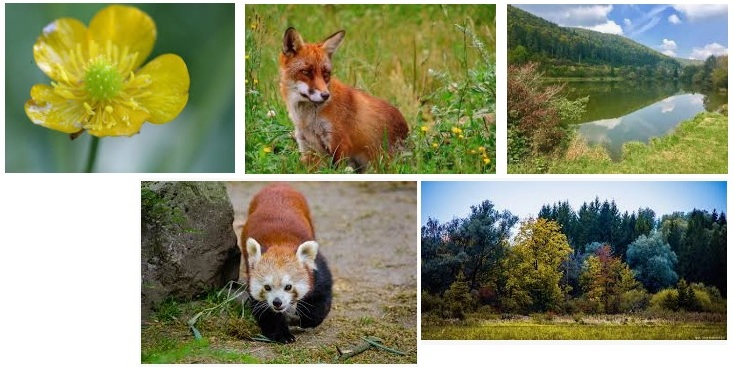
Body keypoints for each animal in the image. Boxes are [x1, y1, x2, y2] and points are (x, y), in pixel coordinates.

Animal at [242, 184, 334, 344]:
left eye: (288, 286)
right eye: (267, 287)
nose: (277, 302)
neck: (279, 242)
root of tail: (278, 184)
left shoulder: (317, 267)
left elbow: (320, 295)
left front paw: (307, 319)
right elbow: (265, 311)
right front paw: (281, 335)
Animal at [280, 26, 412, 173]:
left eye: (326, 74)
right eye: (306, 72)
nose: (326, 95)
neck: (307, 120)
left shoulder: (340, 142)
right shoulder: (308, 147)